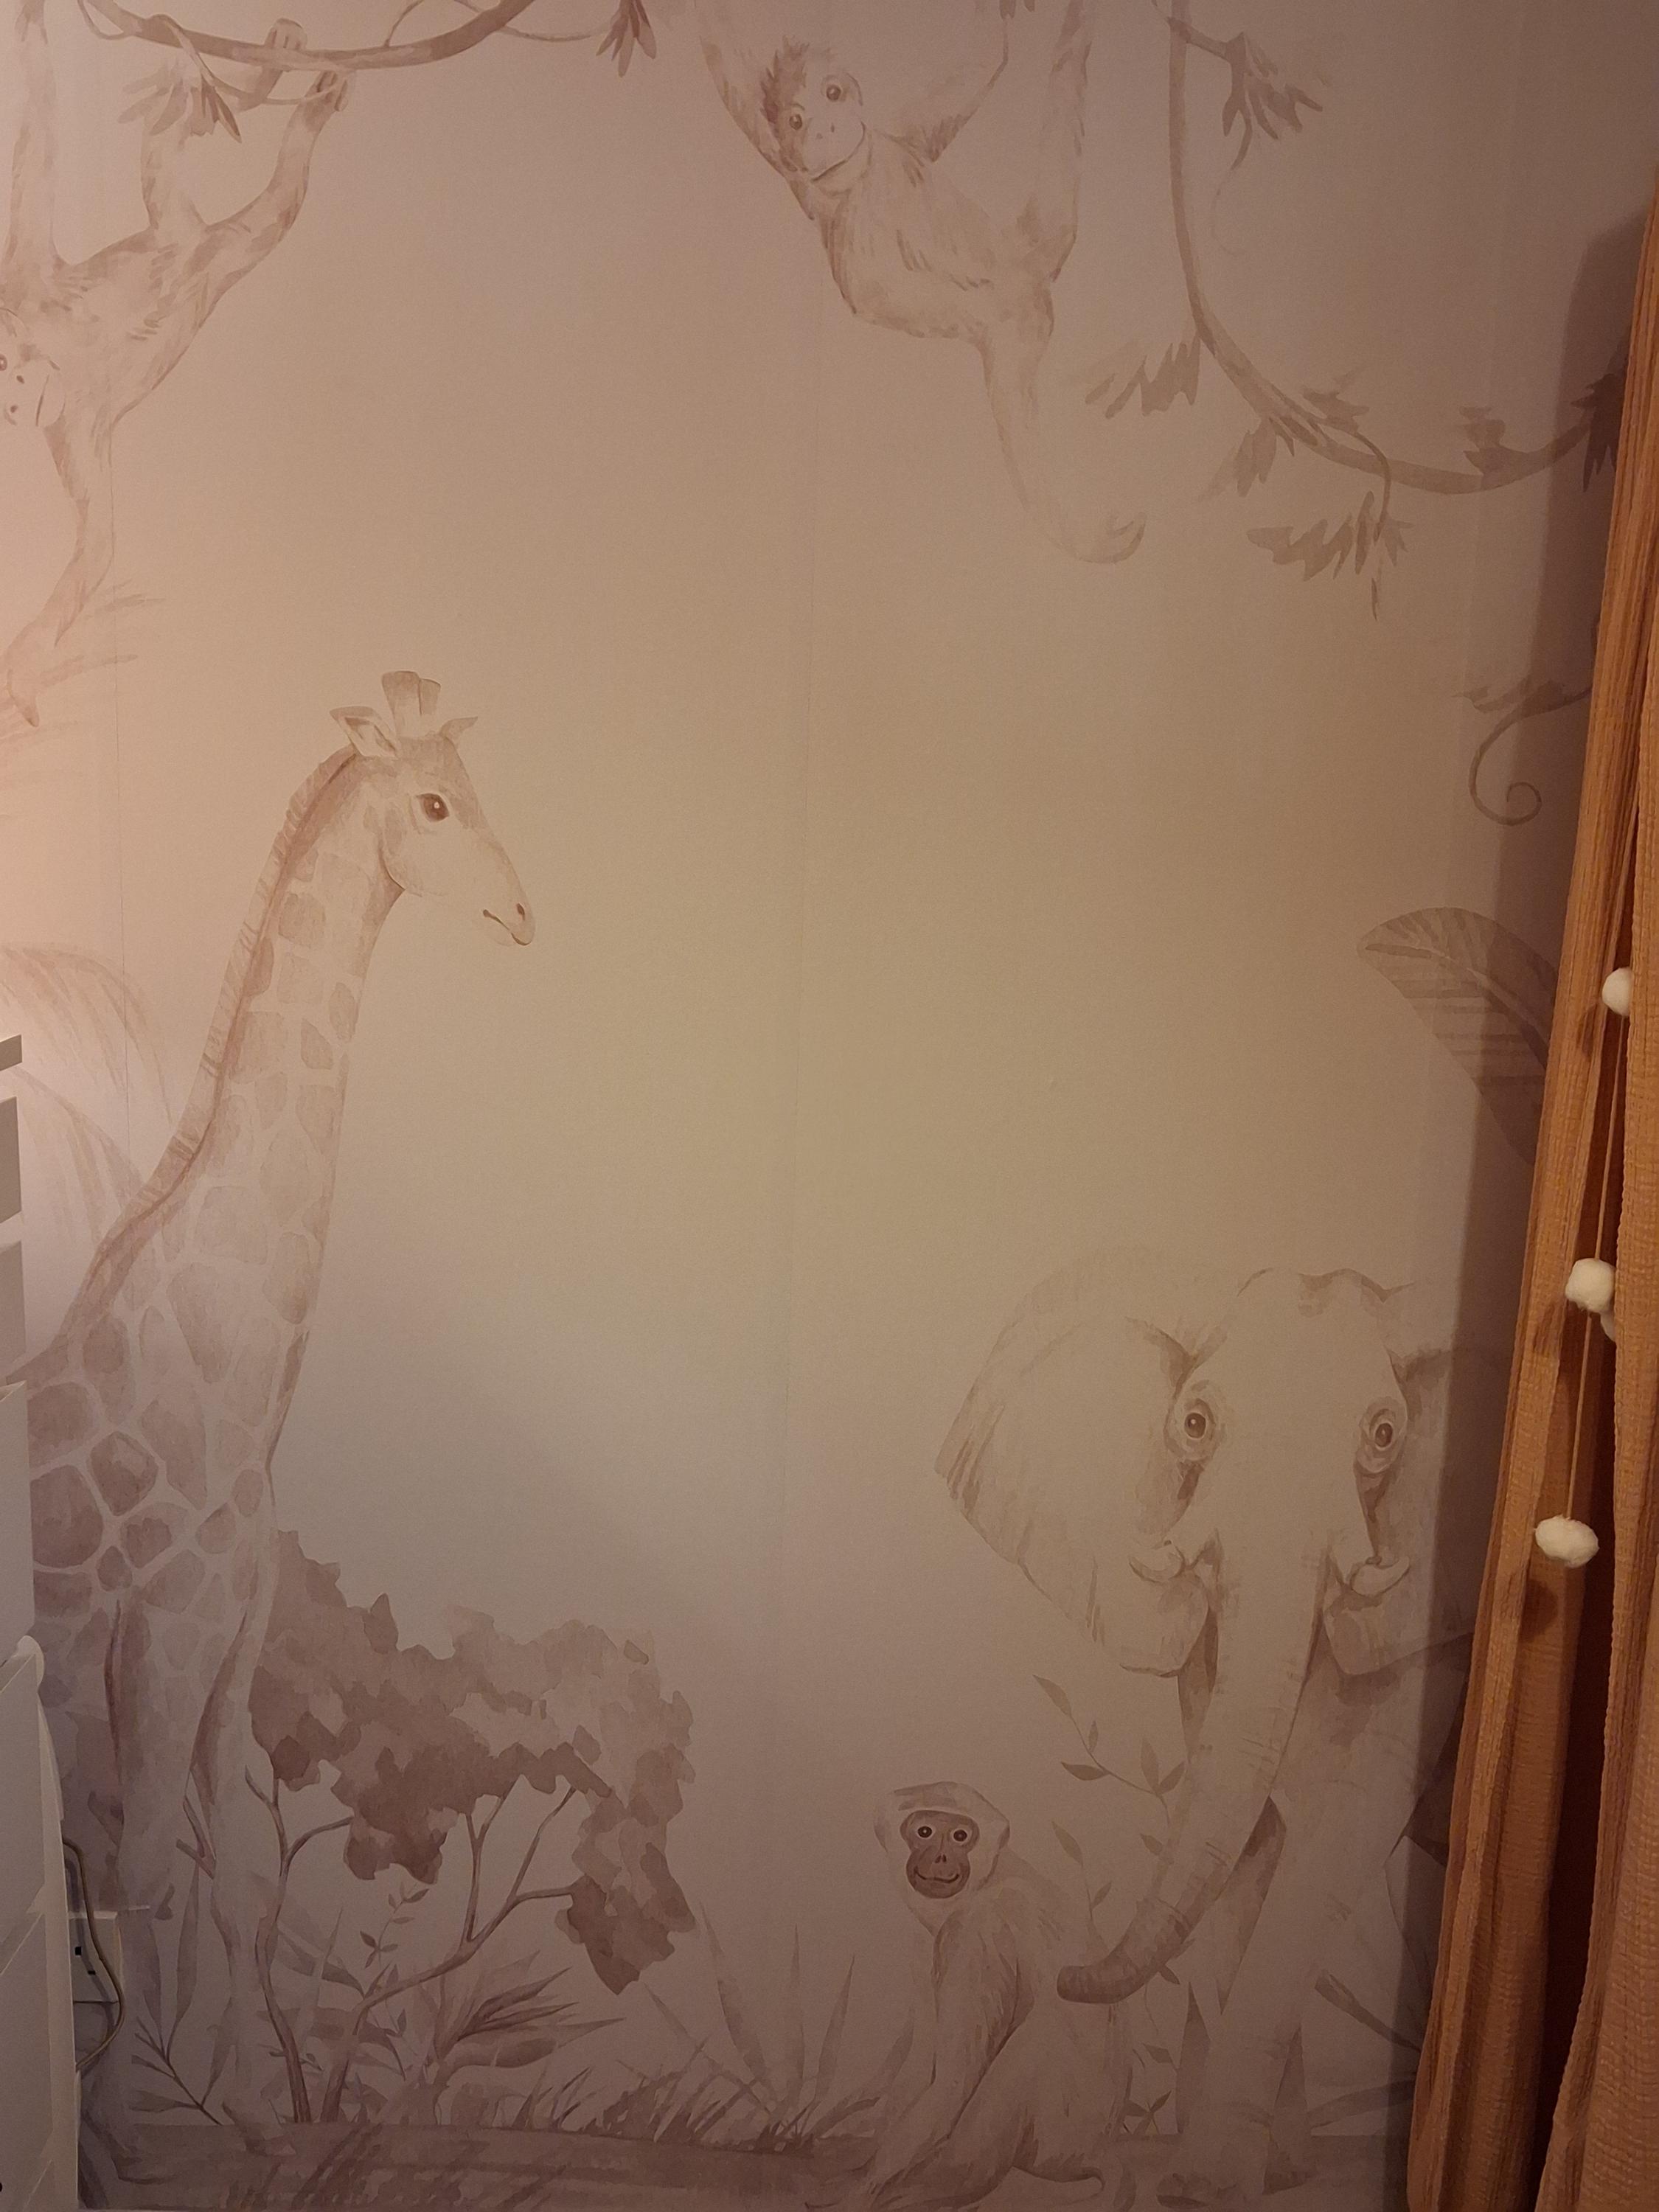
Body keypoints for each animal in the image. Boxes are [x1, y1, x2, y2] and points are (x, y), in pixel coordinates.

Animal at [23, 671, 533, 2162]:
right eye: (434, 804)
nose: (523, 911)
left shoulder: (234, 1640)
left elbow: (241, 1881)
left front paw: (256, 2114)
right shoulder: (161, 1636)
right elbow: (143, 1873)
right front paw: (129, 2133)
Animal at [937, 1253, 1506, 2209]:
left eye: (1386, 1434)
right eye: (1195, 1424)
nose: (1066, 1979)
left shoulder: (1429, 1616)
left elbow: (1339, 1828)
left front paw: (1209, 2183)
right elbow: (1244, 1835)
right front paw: (1269, 2173)